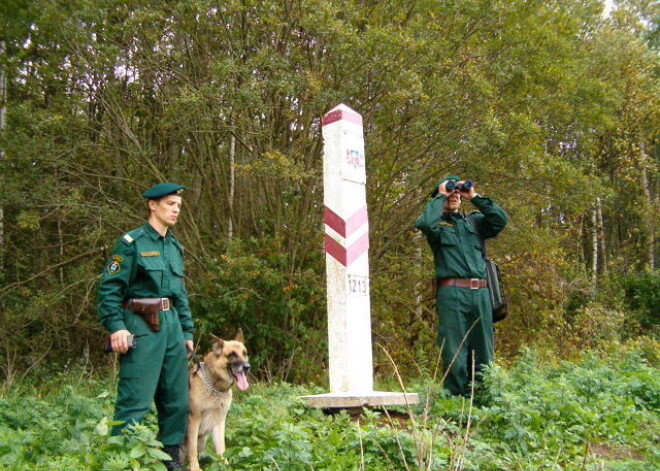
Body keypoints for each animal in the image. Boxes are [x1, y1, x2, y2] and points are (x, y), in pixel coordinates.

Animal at [183, 330, 250, 470]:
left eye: (244, 353)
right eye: (232, 355)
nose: (247, 367)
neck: (216, 387)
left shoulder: (219, 422)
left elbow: (221, 449)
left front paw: (225, 465)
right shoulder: (194, 421)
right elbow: (192, 449)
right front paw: (195, 468)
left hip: (202, 441)